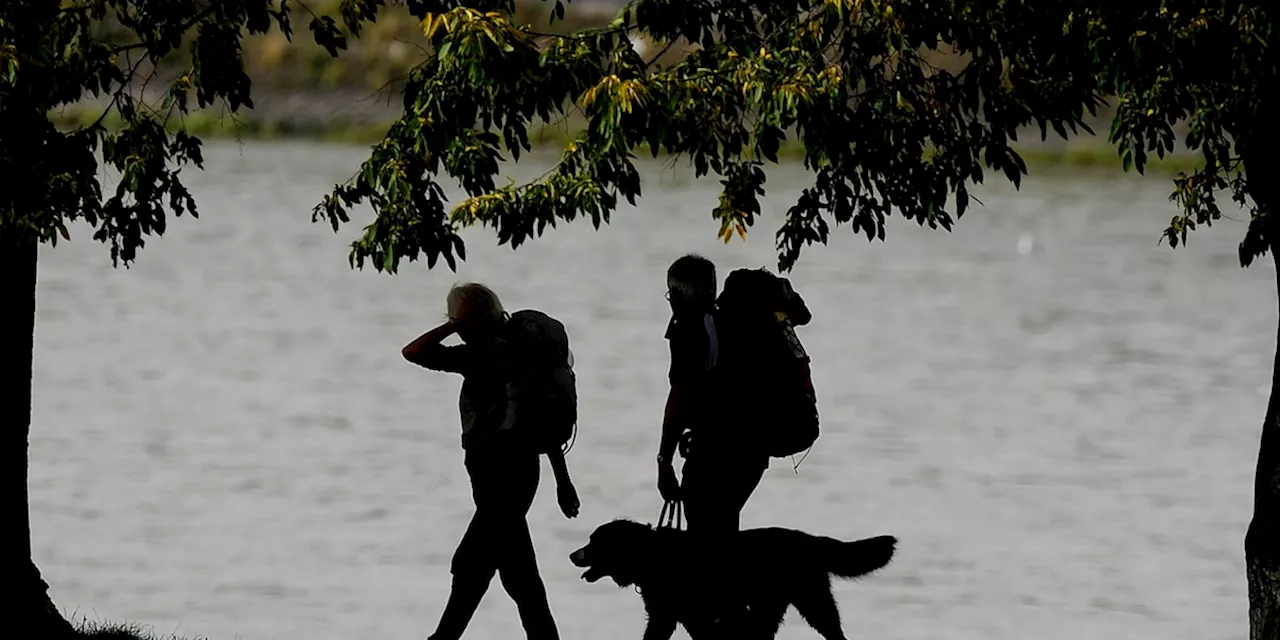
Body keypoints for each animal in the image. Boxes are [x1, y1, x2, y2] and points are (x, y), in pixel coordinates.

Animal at [576, 519, 896, 640]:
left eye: (593, 542)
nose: (571, 555)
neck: (651, 553)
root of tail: (810, 539)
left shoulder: (682, 614)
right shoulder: (673, 615)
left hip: (809, 599)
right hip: (776, 603)